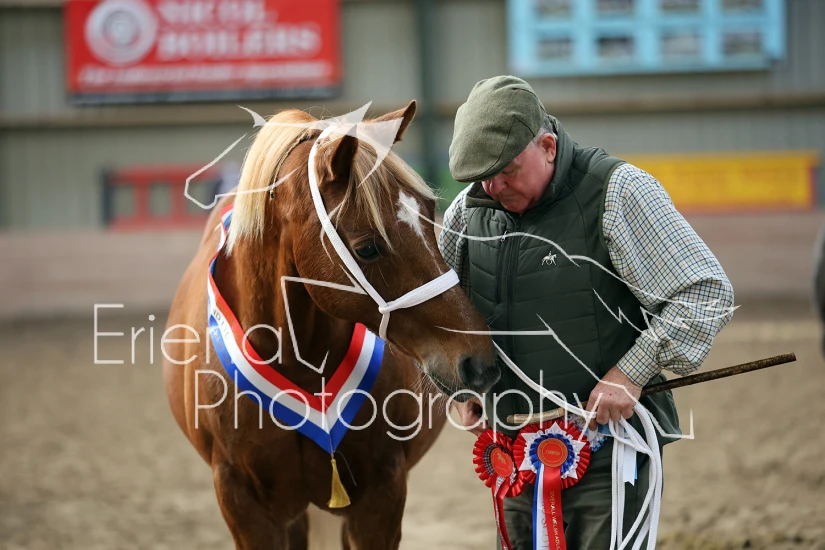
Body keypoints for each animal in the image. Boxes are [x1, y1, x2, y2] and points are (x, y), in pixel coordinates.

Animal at [162, 101, 500, 549]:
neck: (300, 364)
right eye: (368, 247)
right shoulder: (244, 506)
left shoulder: (381, 498)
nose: (478, 361)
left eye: (431, 218)